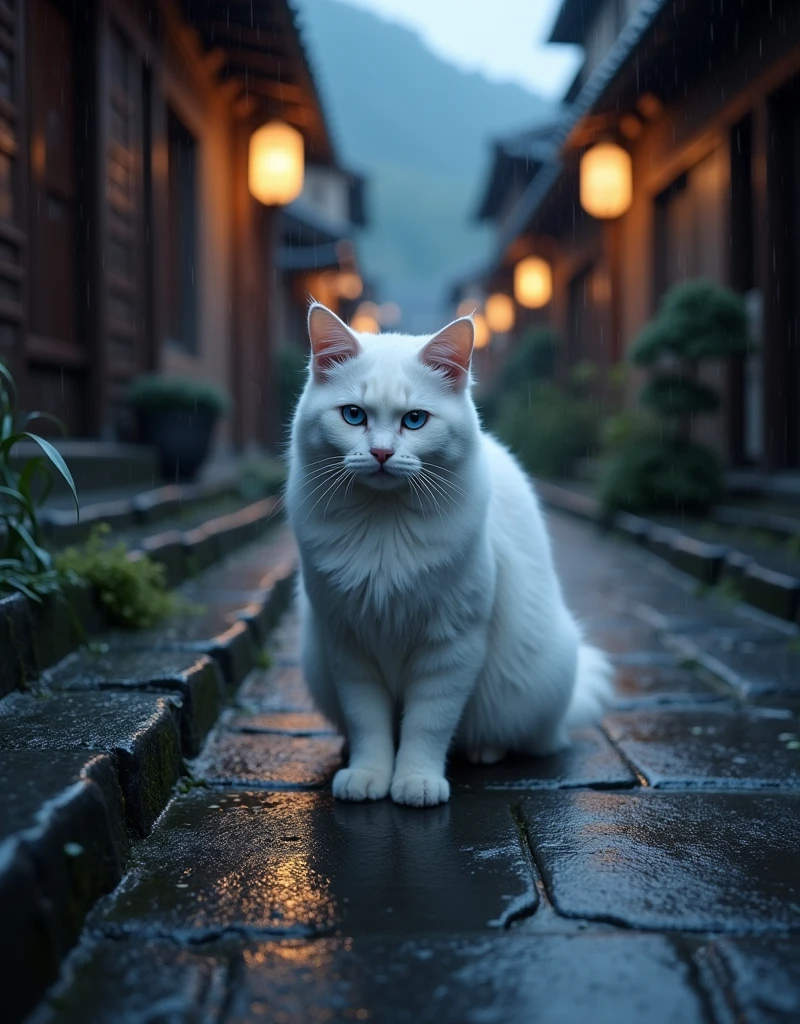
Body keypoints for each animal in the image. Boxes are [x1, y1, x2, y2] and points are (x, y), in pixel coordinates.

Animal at [286, 303, 610, 806]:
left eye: (415, 420)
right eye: (354, 416)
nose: (381, 453)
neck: (384, 527)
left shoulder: (452, 645)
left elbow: (427, 726)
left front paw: (416, 782)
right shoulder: (349, 646)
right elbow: (369, 725)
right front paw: (368, 776)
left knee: (525, 737)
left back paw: (484, 751)